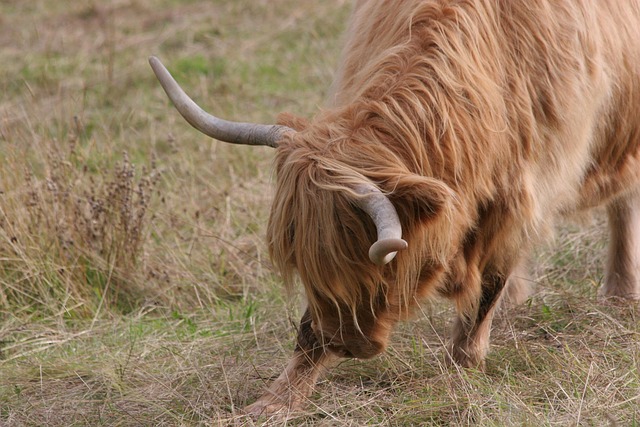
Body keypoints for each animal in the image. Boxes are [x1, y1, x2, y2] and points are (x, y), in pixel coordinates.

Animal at [150, 0, 640, 416]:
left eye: (377, 270)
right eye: (305, 266)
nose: (347, 344)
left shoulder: (521, 200)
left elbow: (485, 290)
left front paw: (458, 374)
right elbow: (307, 327)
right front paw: (272, 403)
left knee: (623, 203)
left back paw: (619, 293)